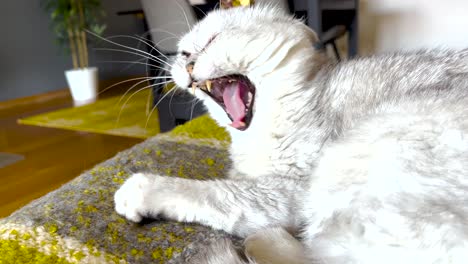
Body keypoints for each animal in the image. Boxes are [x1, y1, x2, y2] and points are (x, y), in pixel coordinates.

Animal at [114, 5, 468, 262]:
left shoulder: (289, 188)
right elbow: (234, 181)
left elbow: (217, 193)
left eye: (212, 40)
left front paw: (138, 190)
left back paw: (262, 241)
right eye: (182, 53)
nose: (186, 63)